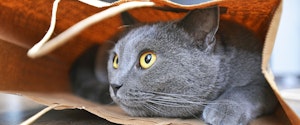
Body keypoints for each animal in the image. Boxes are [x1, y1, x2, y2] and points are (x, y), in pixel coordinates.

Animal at [105, 5, 276, 124]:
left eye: (147, 59)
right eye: (116, 60)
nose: (114, 85)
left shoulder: (264, 82)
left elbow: (246, 89)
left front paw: (223, 109)